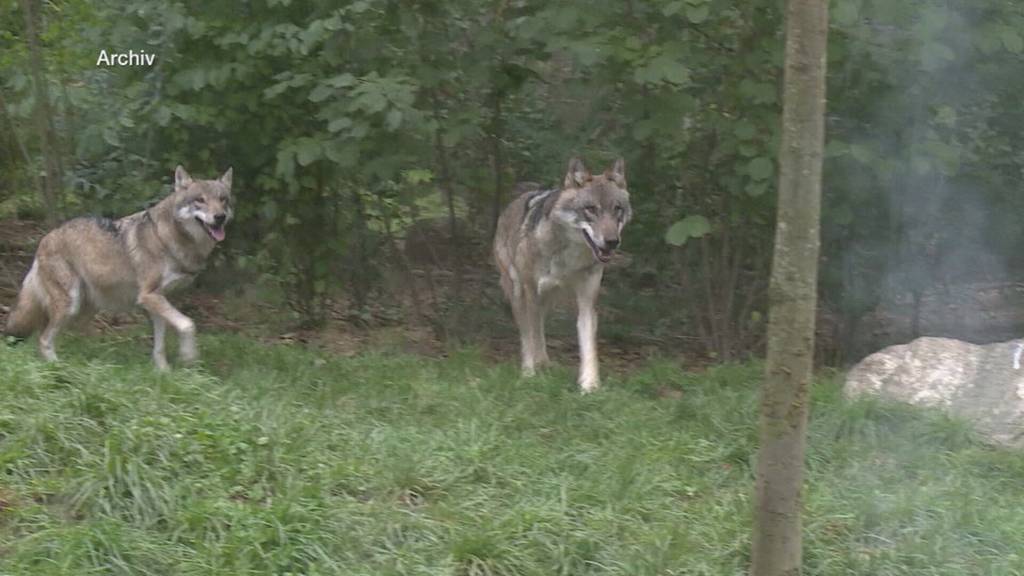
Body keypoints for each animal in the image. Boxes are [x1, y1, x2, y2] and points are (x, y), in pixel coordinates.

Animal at [4, 163, 232, 366]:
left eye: (223, 200)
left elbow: (160, 345)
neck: (168, 238)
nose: (219, 217)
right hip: (71, 304)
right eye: (200, 200)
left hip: (84, 308)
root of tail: (45, 239)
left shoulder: (156, 300)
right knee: (44, 339)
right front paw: (188, 357)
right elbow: (188, 324)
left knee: (60, 335)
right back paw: (60, 368)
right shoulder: (148, 295)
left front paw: (163, 374)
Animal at [491, 155, 626, 389]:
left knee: (540, 328)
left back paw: (545, 363)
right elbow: (531, 336)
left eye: (617, 208)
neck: (569, 258)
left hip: (548, 300)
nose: (612, 242)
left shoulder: (587, 300)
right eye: (591, 208)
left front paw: (590, 385)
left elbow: (588, 344)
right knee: (527, 332)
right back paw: (531, 368)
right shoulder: (530, 294)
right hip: (519, 293)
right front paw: (530, 374)